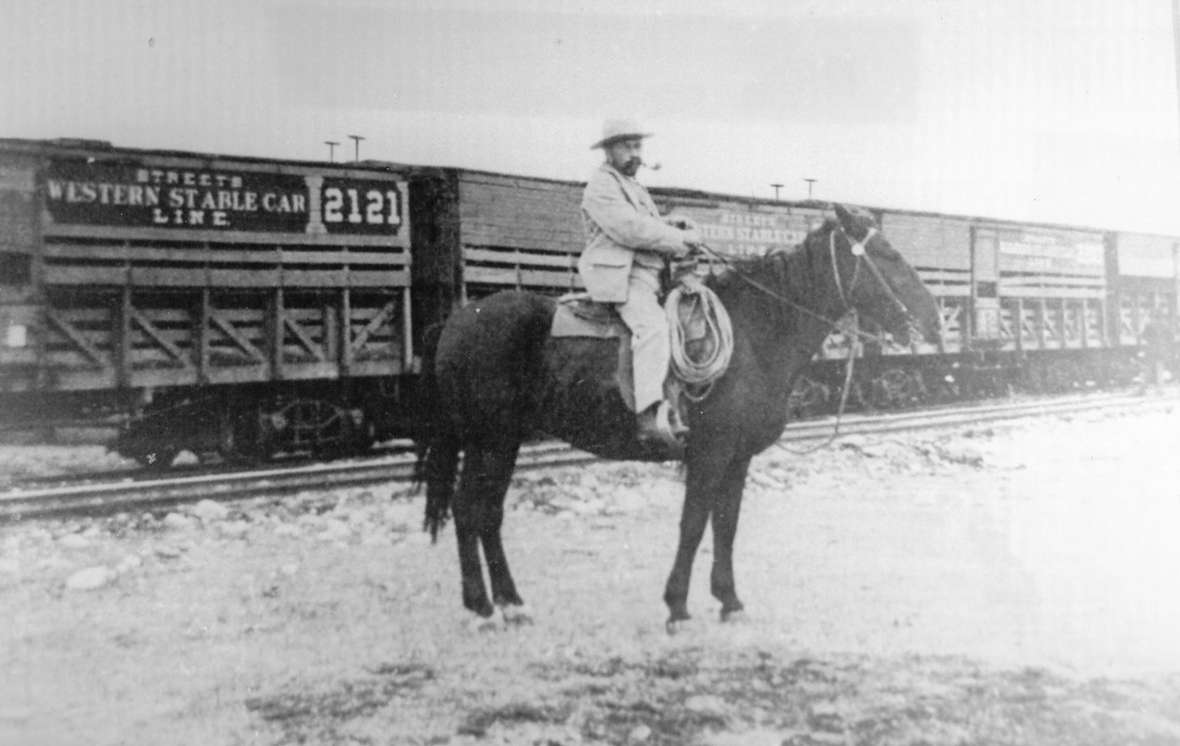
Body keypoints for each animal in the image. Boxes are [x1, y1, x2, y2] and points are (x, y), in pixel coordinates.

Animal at [415, 204, 939, 627]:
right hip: (490, 440)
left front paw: (729, 600)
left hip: (501, 443)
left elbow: (725, 525)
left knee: (487, 513)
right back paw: (483, 607)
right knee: (470, 510)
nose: (933, 317)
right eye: (886, 254)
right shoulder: (710, 454)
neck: (753, 335)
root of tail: (458, 319)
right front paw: (678, 606)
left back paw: (510, 603)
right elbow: (694, 524)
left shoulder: (737, 459)